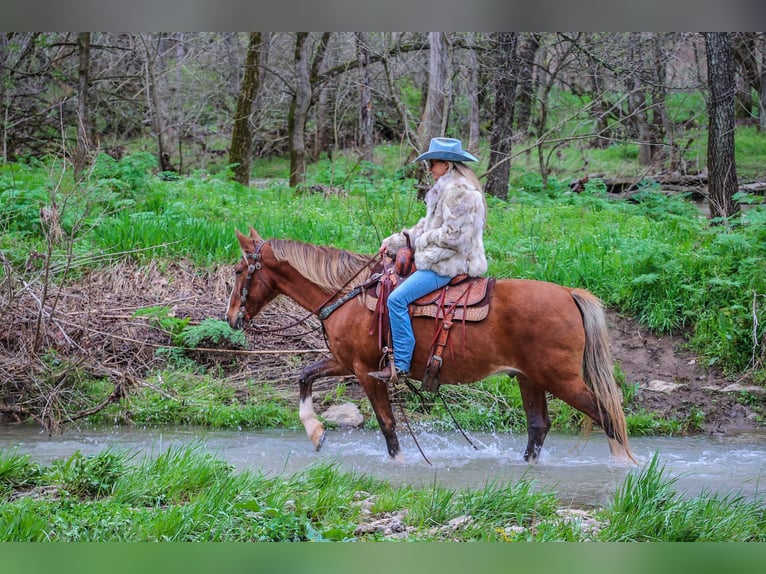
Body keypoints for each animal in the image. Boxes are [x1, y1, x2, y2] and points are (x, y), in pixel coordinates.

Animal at [226, 227, 636, 466]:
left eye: (238, 271)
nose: (231, 318)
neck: (349, 295)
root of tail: (569, 293)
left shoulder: (366, 371)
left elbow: (388, 424)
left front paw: (399, 464)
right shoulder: (345, 362)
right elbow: (305, 375)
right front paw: (315, 432)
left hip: (559, 379)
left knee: (608, 415)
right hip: (529, 378)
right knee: (539, 427)